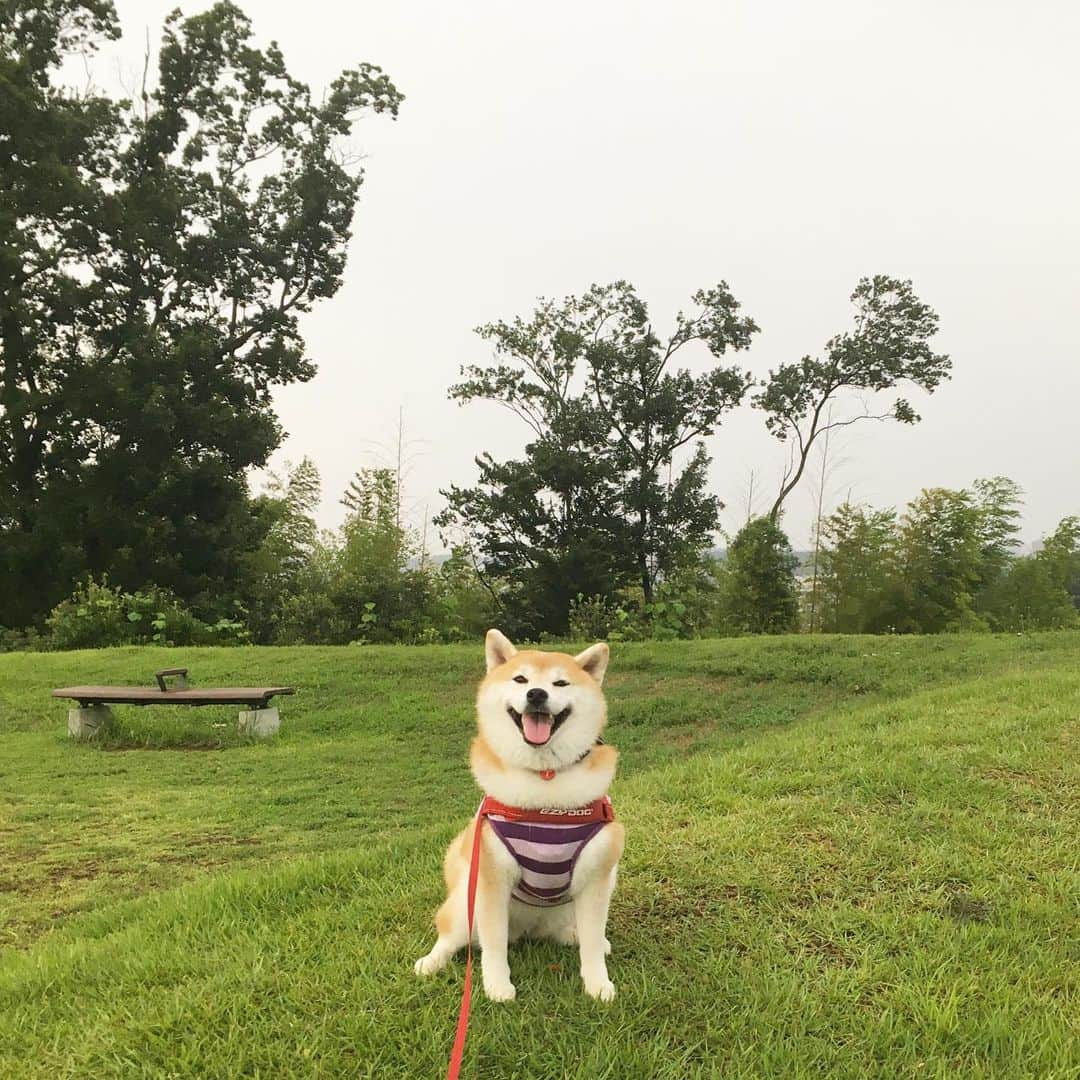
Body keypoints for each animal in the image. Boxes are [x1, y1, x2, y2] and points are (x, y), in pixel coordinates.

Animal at [414, 630, 626, 997]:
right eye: (520, 679)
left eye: (560, 682)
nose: (537, 693)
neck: (544, 786)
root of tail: (529, 930)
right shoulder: (491, 880)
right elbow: (494, 945)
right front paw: (497, 987)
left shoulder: (597, 879)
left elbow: (592, 944)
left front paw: (598, 984)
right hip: (466, 903)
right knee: (452, 936)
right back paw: (431, 963)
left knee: (585, 935)